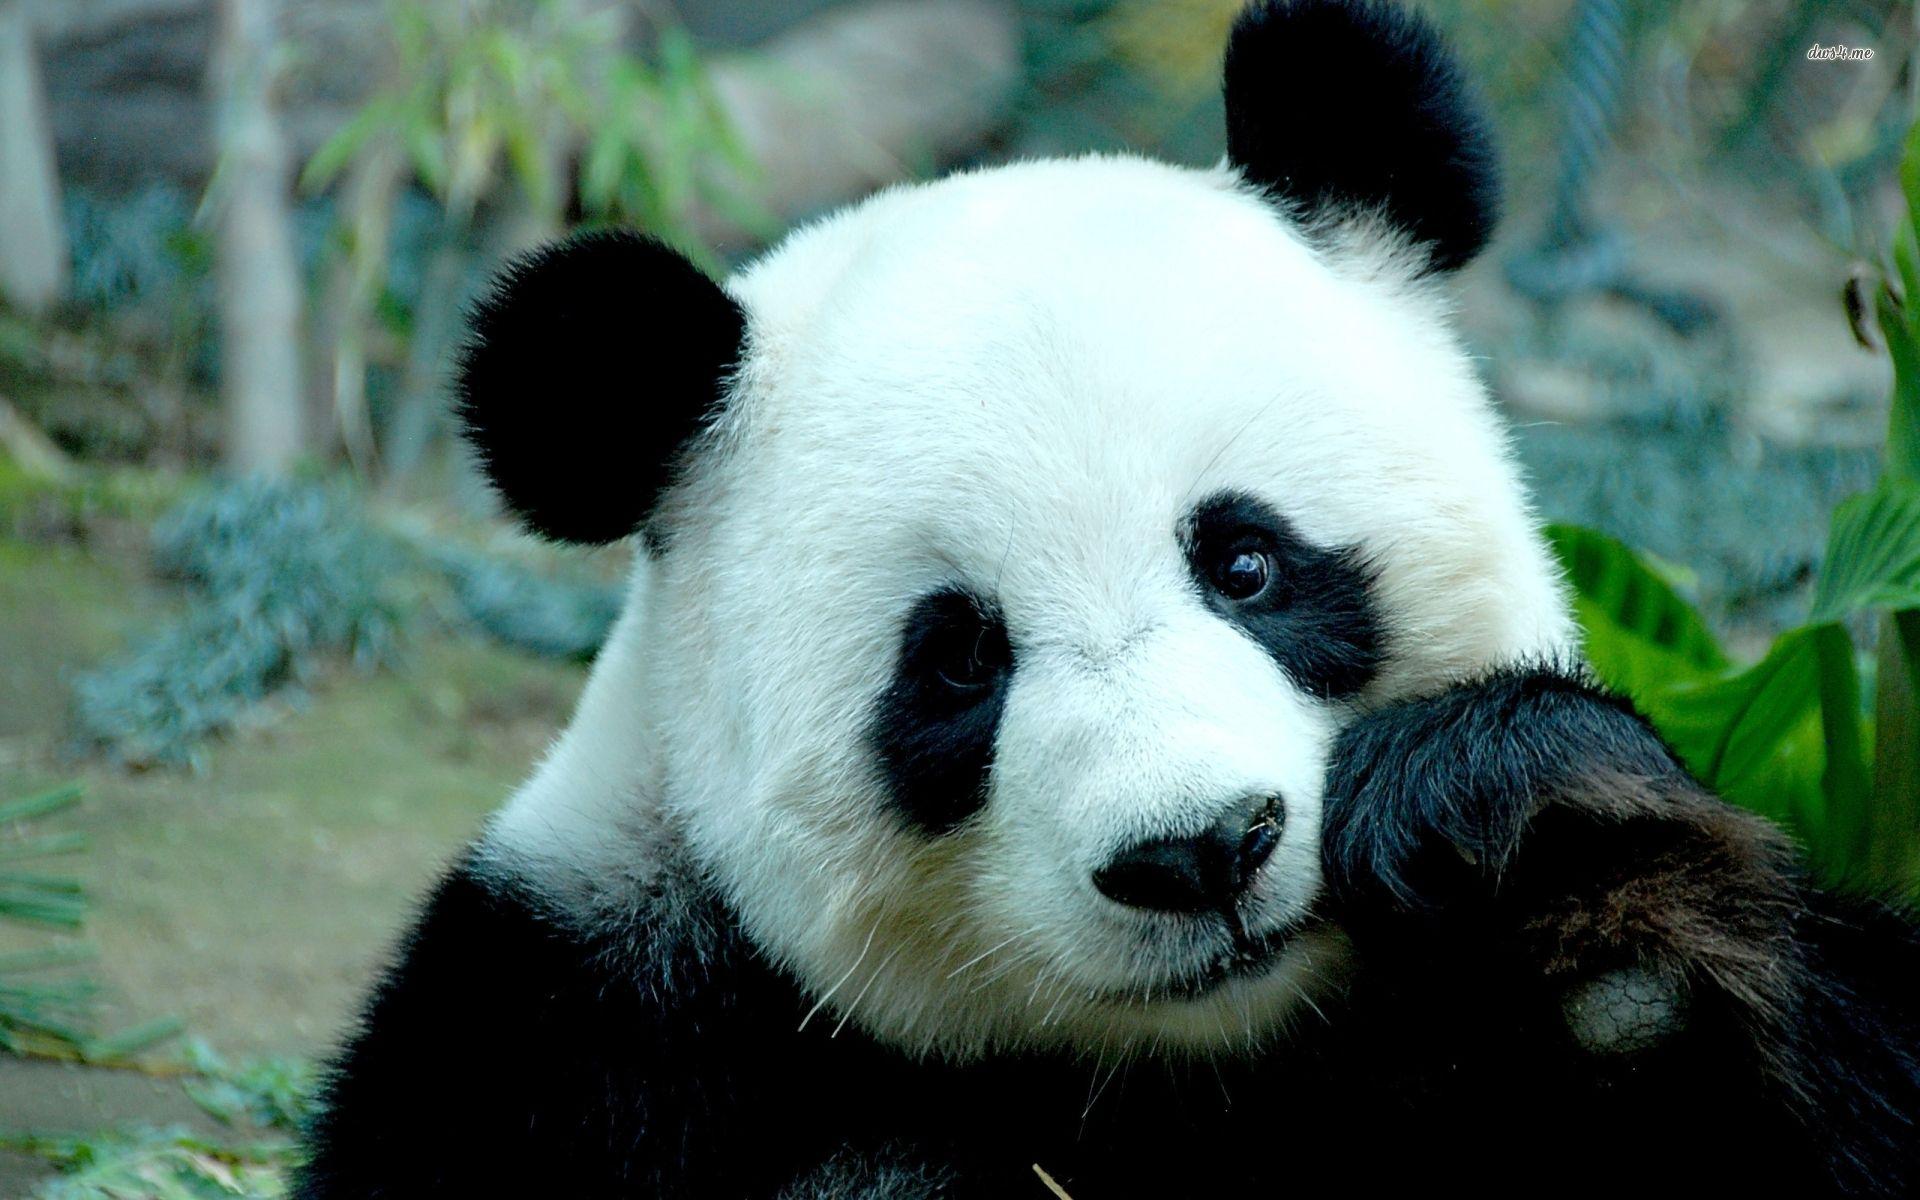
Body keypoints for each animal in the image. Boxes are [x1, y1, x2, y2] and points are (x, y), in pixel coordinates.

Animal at [297, 1, 1920, 1196]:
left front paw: (1550, 860)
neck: (1202, 1065)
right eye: (958, 662)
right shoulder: (581, 1032)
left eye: (1247, 562)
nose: (1198, 853)